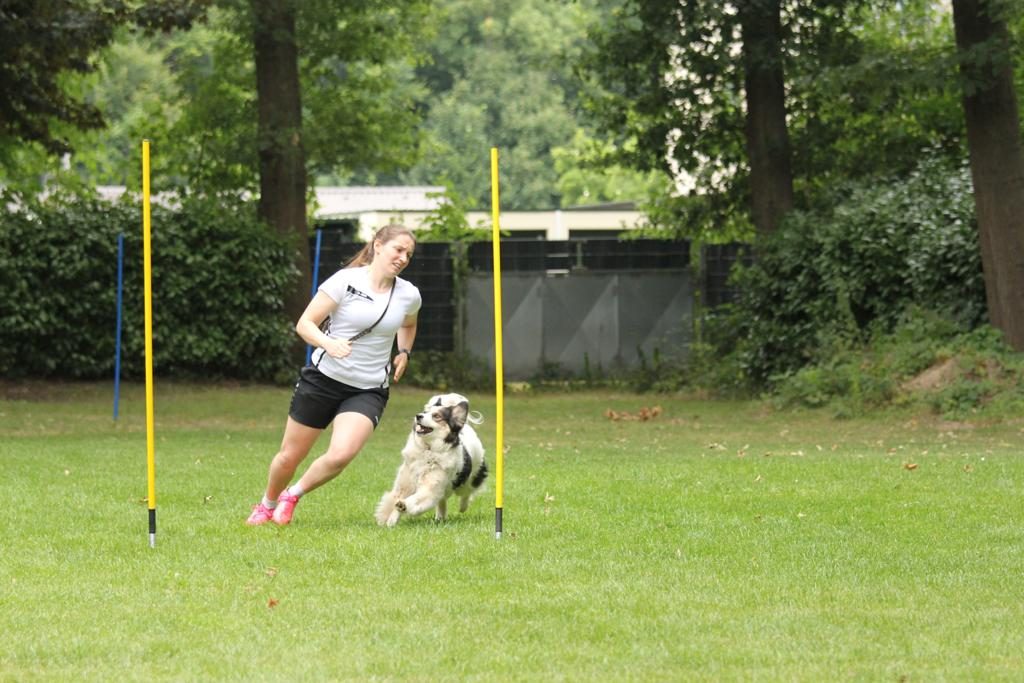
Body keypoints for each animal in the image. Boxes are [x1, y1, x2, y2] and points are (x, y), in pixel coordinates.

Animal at [375, 393, 487, 527]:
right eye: (425, 412)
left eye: (436, 416)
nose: (418, 416)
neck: (428, 450)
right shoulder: (405, 483)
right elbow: (395, 501)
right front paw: (391, 521)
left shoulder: (431, 488)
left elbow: (417, 499)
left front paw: (404, 505)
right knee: (443, 501)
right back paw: (440, 517)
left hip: (470, 479)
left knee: (467, 493)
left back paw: (462, 507)